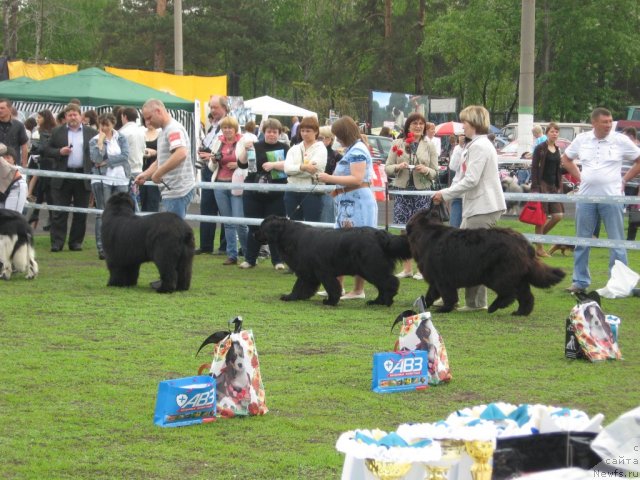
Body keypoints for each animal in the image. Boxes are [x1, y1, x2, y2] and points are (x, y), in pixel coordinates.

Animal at [255, 216, 410, 306]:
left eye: (262, 228)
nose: (253, 234)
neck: (288, 235)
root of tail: (381, 234)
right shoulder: (307, 272)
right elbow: (300, 286)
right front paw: (292, 297)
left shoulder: (323, 271)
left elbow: (332, 287)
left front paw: (330, 301)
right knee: (383, 285)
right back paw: (377, 301)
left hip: (372, 267)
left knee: (390, 282)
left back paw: (386, 301)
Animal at [404, 208, 564, 316]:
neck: (426, 232)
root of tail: (525, 244)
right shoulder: (436, 279)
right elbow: (431, 293)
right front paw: (424, 304)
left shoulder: (443, 279)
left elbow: (448, 295)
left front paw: (444, 309)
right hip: (518, 276)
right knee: (526, 295)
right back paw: (521, 312)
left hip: (498, 275)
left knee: (509, 293)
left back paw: (494, 307)